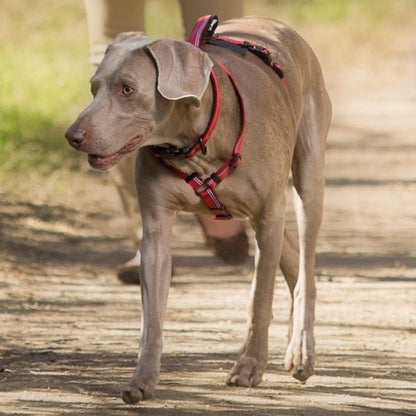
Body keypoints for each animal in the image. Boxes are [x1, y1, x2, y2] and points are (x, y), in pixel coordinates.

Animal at [65, 16, 332, 404]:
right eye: (93, 87)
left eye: (127, 89)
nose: (72, 136)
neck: (195, 144)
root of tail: (275, 24)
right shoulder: (156, 231)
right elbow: (152, 316)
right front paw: (142, 378)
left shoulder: (267, 213)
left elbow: (259, 299)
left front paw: (249, 366)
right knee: (295, 262)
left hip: (307, 177)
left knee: (305, 263)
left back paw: (301, 351)